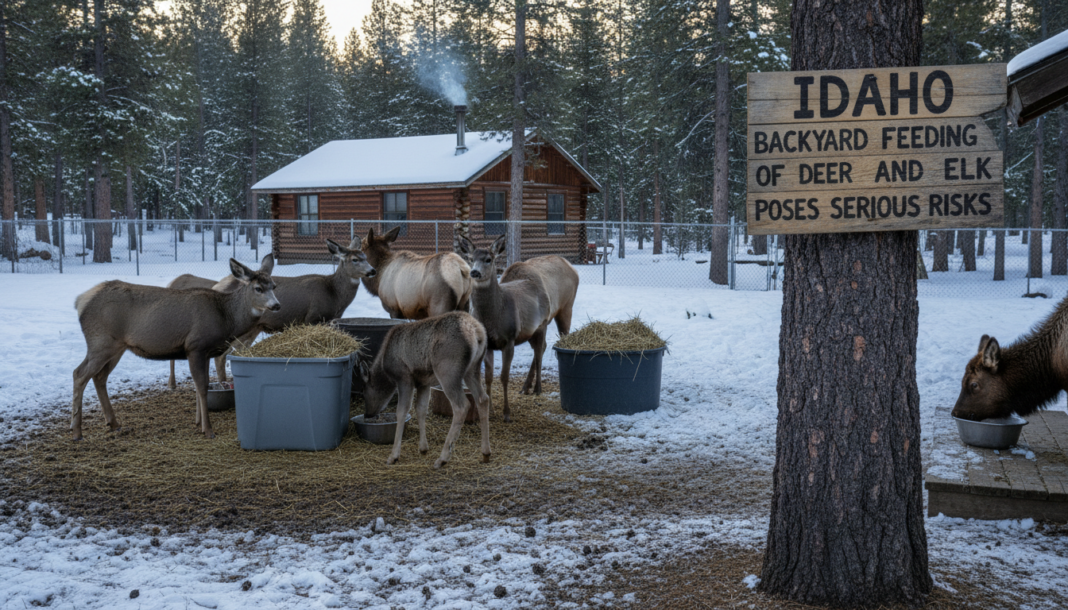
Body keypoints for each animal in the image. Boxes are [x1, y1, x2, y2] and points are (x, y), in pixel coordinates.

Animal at [71, 256, 280, 440]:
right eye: (258, 288)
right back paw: (77, 432)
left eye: (274, 286)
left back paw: (114, 423)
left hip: (116, 347)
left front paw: (198, 423)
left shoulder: (204, 352)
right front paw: (208, 430)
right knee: (79, 374)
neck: (226, 317)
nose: (276, 305)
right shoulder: (195, 345)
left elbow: (200, 386)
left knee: (99, 377)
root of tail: (80, 301)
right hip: (101, 341)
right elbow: (202, 387)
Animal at [359, 311, 490, 469]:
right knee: (483, 399)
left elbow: (402, 412)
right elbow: (421, 409)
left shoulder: (404, 377)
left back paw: (443, 458)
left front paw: (393, 456)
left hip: (447, 370)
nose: (367, 414)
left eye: (364, 392)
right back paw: (485, 453)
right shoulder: (423, 383)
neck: (386, 371)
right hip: (473, 368)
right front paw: (423, 448)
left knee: (462, 406)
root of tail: (477, 332)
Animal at [458, 235, 579, 422]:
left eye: (488, 259)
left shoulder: (509, 338)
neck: (492, 318)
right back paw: (526, 386)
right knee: (541, 347)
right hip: (531, 330)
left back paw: (537, 388)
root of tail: (571, 266)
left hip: (555, 315)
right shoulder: (489, 343)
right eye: (470, 259)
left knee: (544, 348)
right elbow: (488, 378)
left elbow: (504, 377)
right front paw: (490, 410)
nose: (475, 272)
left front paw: (506, 413)